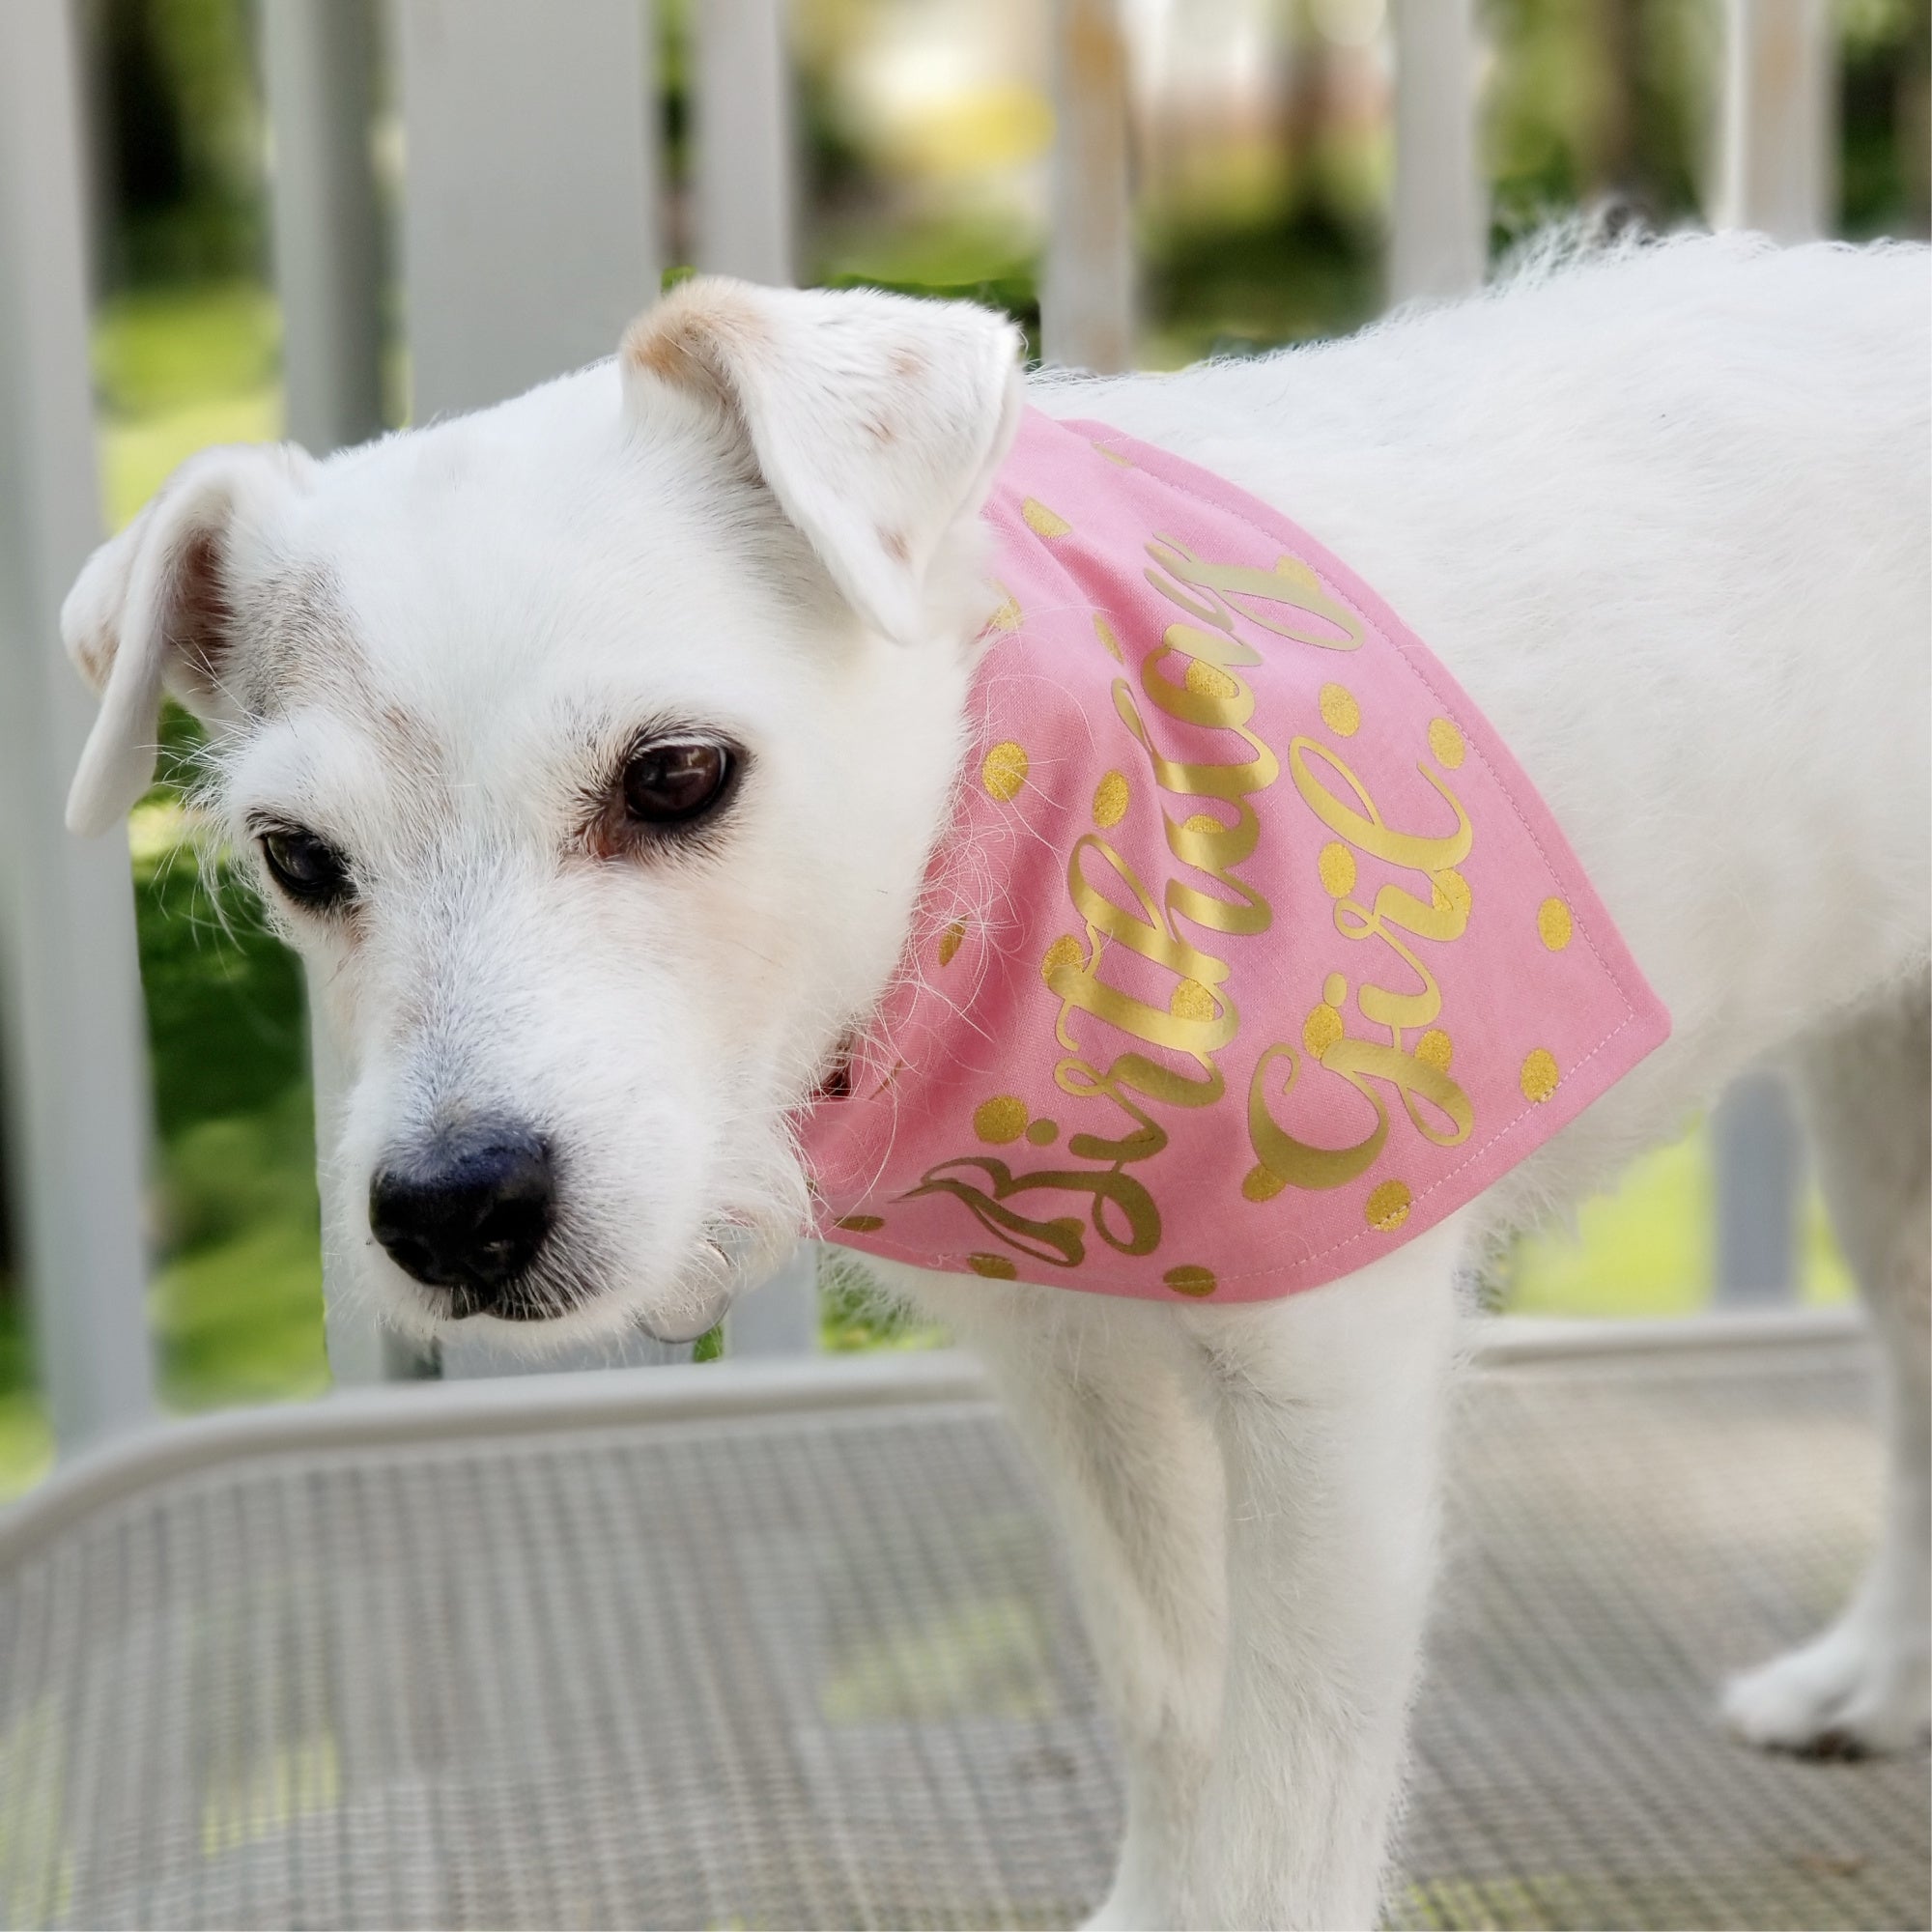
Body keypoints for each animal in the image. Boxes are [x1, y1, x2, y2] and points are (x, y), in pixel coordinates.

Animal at [60, 238, 1932, 1932]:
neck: (1014, 814)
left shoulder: (1330, 1371)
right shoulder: (1080, 1363)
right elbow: (1178, 1704)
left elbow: (1296, 1794)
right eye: (299, 858)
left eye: (677, 775)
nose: (453, 1215)